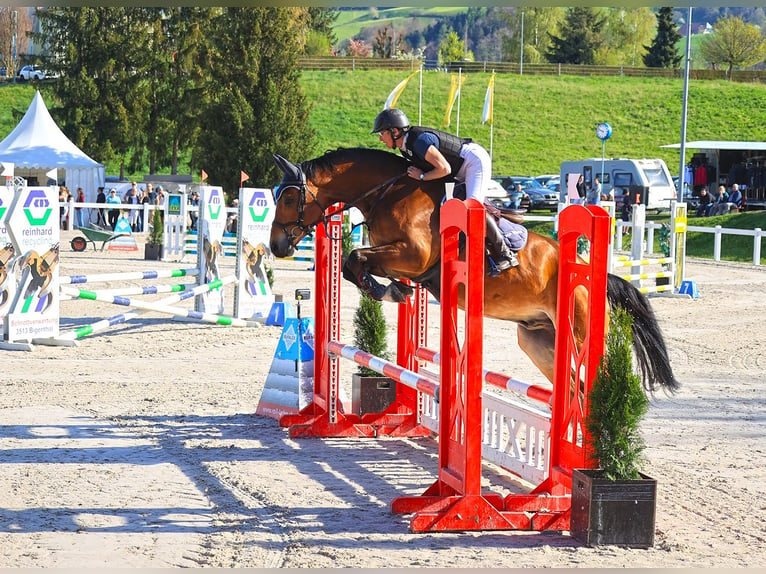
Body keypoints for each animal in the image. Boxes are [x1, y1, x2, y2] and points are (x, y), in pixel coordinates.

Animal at [270, 148, 680, 396]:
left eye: (289, 197)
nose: (276, 246)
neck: (389, 193)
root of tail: (594, 277)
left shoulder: (414, 256)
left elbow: (355, 257)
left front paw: (387, 289)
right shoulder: (398, 258)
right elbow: (355, 263)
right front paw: (394, 290)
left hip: (579, 334)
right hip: (539, 341)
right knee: (573, 389)